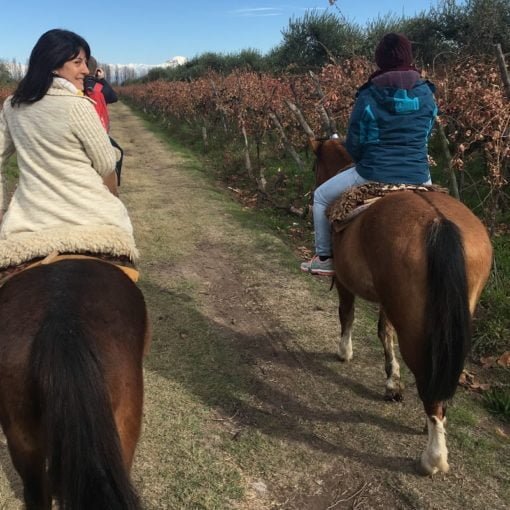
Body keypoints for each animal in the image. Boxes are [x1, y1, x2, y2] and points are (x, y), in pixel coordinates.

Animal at [308, 138, 492, 474]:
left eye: (316, 164)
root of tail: (438, 221)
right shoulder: (389, 299)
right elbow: (384, 331)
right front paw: (392, 382)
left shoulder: (345, 282)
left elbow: (348, 316)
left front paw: (345, 352)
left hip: (416, 326)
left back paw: (434, 456)